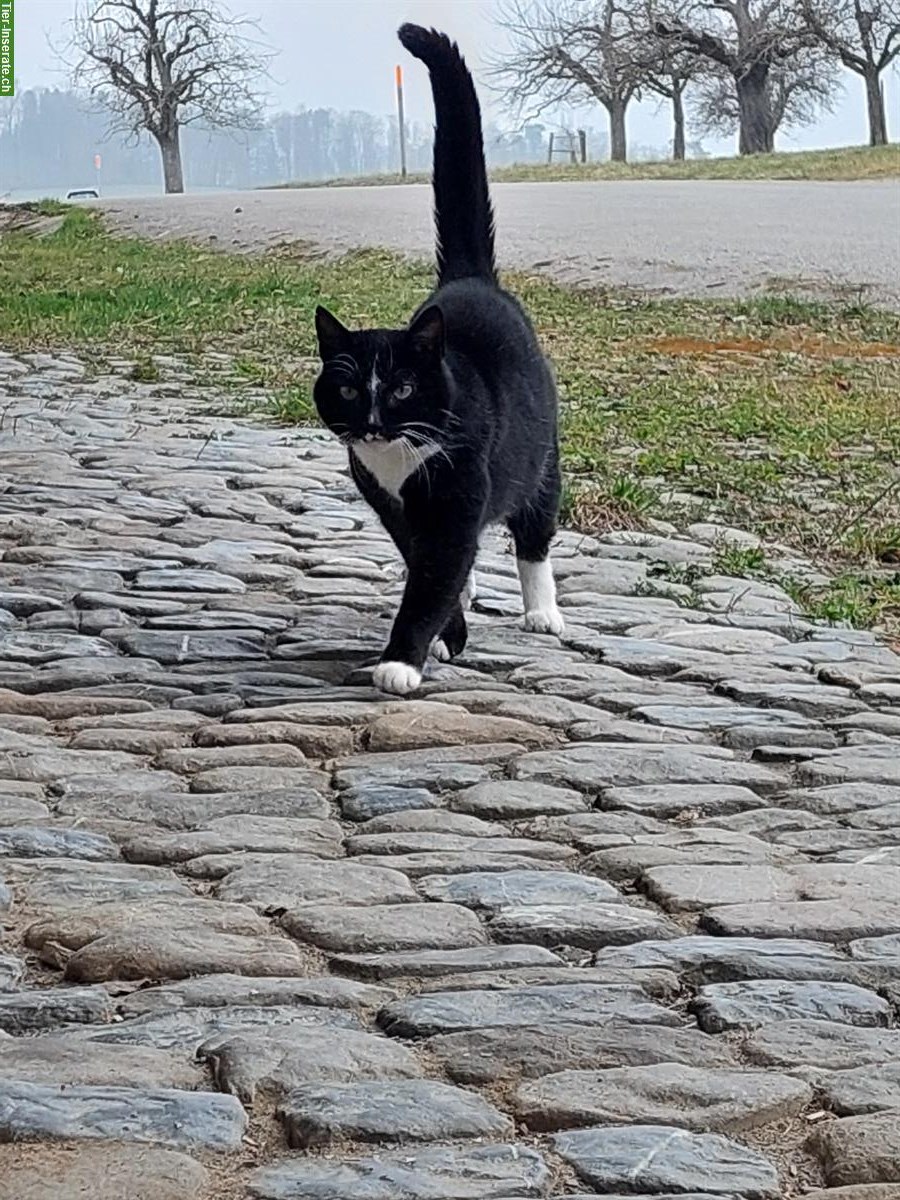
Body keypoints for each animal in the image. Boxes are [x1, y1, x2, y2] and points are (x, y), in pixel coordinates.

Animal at [314, 21, 561, 696]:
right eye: (349, 390)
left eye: (401, 388)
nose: (373, 423)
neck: (400, 458)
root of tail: (470, 278)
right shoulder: (391, 504)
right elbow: (428, 572)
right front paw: (448, 636)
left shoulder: (455, 499)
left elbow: (433, 578)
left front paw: (402, 661)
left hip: (542, 456)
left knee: (535, 531)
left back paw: (543, 611)